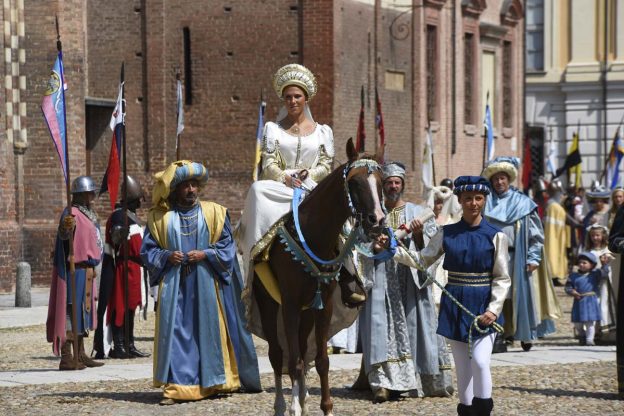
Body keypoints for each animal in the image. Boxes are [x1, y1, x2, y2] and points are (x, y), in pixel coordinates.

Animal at [254, 138, 386, 414]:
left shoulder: (322, 305)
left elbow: (321, 361)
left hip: (307, 312)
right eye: (355, 182)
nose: (377, 220)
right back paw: (282, 405)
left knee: (304, 352)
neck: (311, 234)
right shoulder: (290, 305)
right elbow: (292, 361)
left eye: (381, 181)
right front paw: (294, 407)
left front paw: (325, 407)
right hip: (268, 303)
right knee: (277, 355)